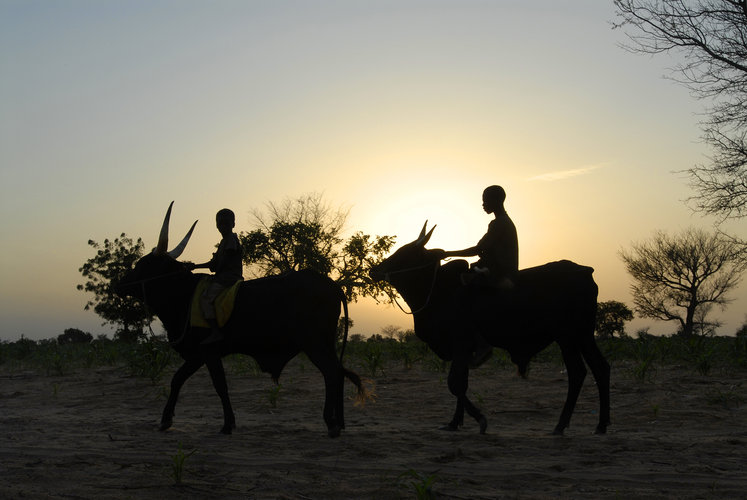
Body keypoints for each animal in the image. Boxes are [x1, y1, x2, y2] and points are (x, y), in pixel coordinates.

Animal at [115, 202, 366, 437]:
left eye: (142, 265)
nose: (118, 285)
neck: (184, 294)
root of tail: (331, 284)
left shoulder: (208, 352)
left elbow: (219, 385)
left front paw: (227, 424)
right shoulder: (197, 355)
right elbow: (177, 380)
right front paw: (166, 420)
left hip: (314, 344)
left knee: (332, 373)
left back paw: (331, 424)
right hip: (325, 344)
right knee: (339, 373)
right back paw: (339, 422)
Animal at [370, 222, 610, 436]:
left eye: (405, 253)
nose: (375, 270)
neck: (436, 289)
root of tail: (585, 271)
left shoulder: (461, 344)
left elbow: (455, 384)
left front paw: (480, 419)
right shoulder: (463, 351)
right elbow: (462, 384)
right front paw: (454, 422)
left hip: (567, 337)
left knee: (577, 372)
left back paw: (561, 425)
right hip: (584, 335)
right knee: (600, 367)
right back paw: (601, 424)